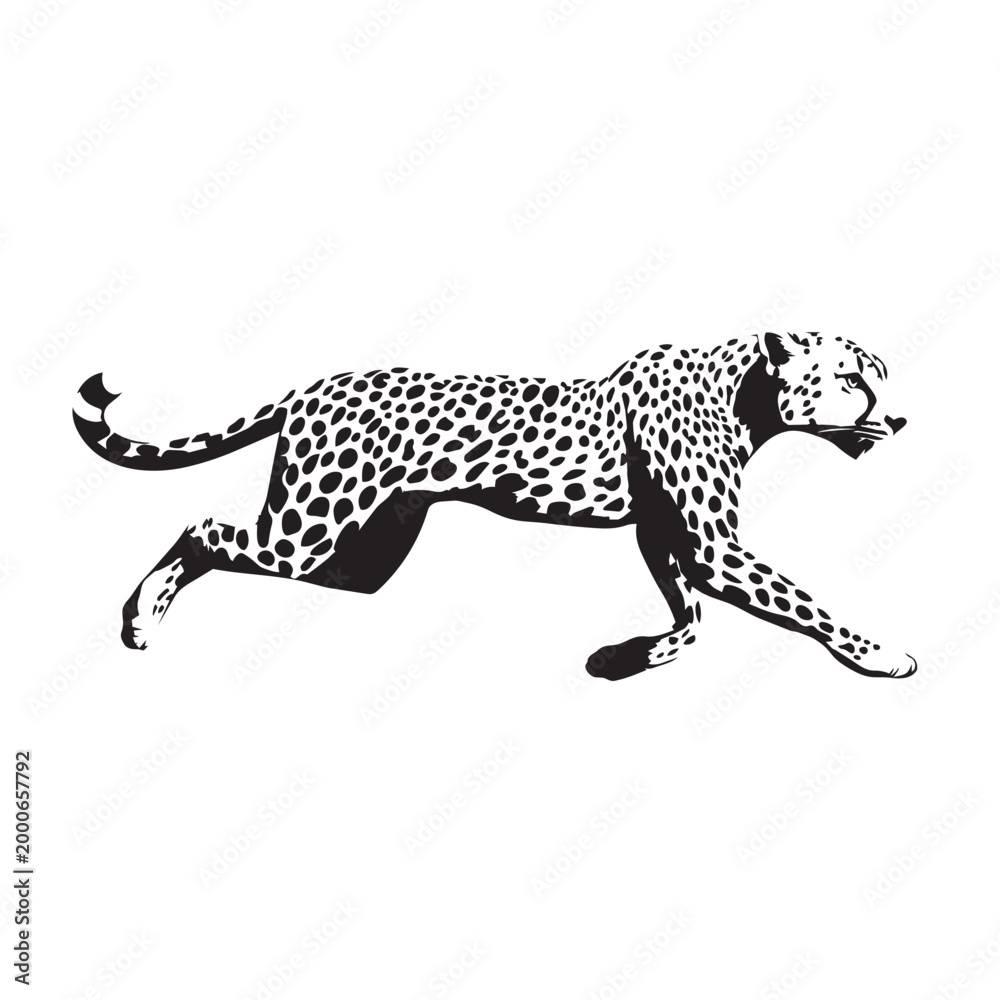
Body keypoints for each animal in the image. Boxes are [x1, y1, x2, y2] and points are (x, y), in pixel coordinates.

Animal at [73, 330, 915, 679]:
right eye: (853, 378)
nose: (902, 419)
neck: (749, 397)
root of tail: (315, 383)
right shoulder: (713, 546)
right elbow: (802, 601)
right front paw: (879, 654)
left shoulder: (663, 534)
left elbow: (691, 614)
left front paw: (632, 656)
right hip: (306, 529)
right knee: (201, 526)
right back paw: (142, 616)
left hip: (362, 554)